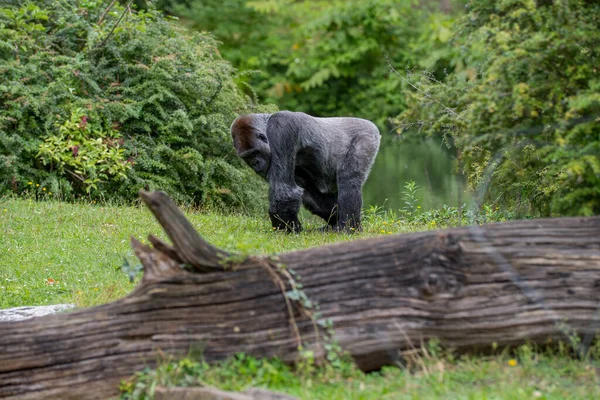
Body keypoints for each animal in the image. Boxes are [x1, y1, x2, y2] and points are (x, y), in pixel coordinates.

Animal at [231, 111, 380, 233]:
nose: (255, 163)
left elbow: (283, 190)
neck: (267, 122)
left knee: (349, 181)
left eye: (255, 153)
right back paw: (334, 225)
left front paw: (285, 229)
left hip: (366, 136)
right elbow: (309, 194)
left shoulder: (281, 129)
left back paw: (348, 228)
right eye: (247, 157)